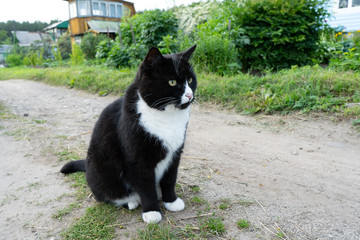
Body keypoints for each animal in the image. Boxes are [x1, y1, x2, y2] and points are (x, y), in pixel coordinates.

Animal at [61, 44, 197, 223]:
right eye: (172, 82)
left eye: (190, 80)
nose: (189, 94)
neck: (167, 116)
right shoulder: (137, 159)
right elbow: (145, 187)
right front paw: (152, 211)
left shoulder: (175, 154)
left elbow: (170, 180)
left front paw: (171, 201)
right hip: (102, 174)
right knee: (105, 196)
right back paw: (131, 201)